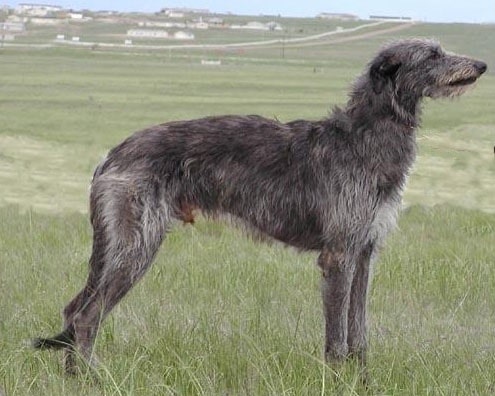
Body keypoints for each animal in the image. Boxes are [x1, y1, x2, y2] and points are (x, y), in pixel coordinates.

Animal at [35, 38, 488, 372]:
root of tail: (111, 155)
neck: (364, 136)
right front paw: (337, 379)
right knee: (86, 317)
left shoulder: (365, 250)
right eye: (433, 55)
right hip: (136, 243)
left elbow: (358, 330)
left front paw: (363, 378)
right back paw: (90, 380)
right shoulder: (338, 254)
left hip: (118, 245)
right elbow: (335, 337)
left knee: (74, 309)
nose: (483, 65)